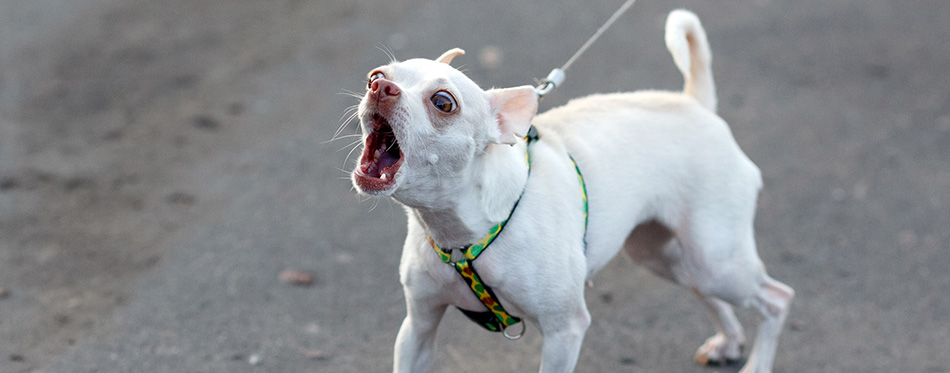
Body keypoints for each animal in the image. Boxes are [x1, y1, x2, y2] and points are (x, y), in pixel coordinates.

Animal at [350, 8, 796, 372]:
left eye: (444, 102)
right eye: (376, 75)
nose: (380, 88)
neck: (462, 232)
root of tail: (696, 105)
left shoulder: (564, 331)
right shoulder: (418, 329)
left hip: (716, 257)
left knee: (776, 298)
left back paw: (757, 363)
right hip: (666, 256)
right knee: (709, 291)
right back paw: (729, 342)